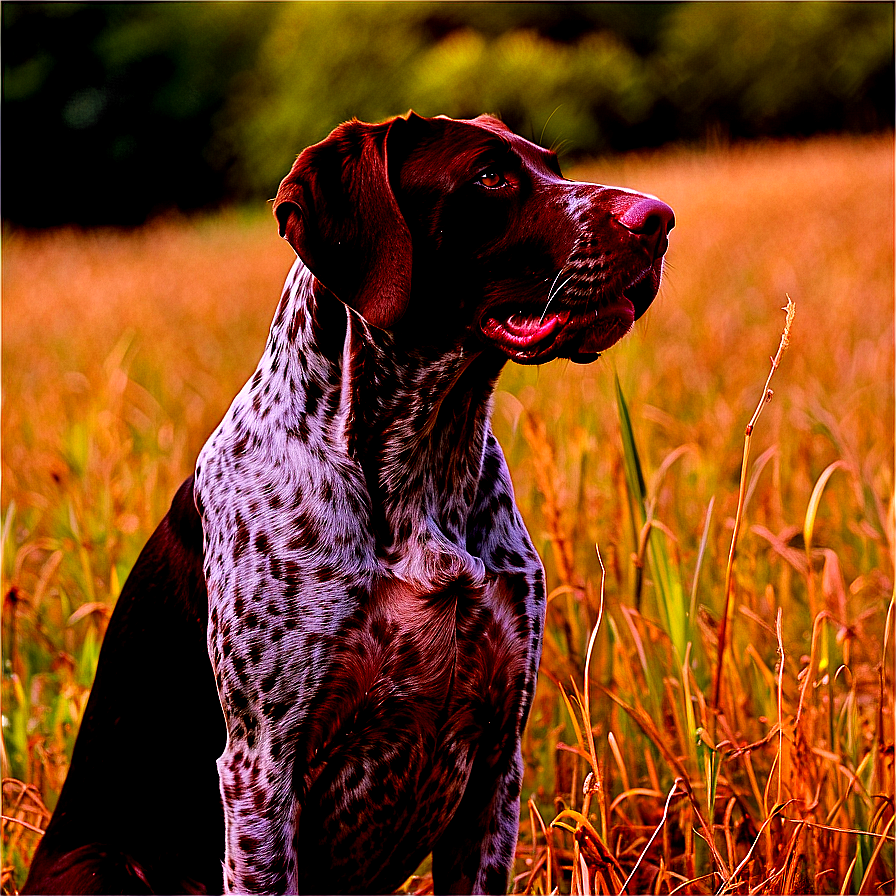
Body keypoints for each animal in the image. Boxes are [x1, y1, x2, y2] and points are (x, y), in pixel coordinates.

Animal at [22, 114, 672, 896]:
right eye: (489, 177)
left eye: (552, 165)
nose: (659, 219)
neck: (423, 472)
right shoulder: (260, 773)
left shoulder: (496, 766)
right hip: (103, 865)